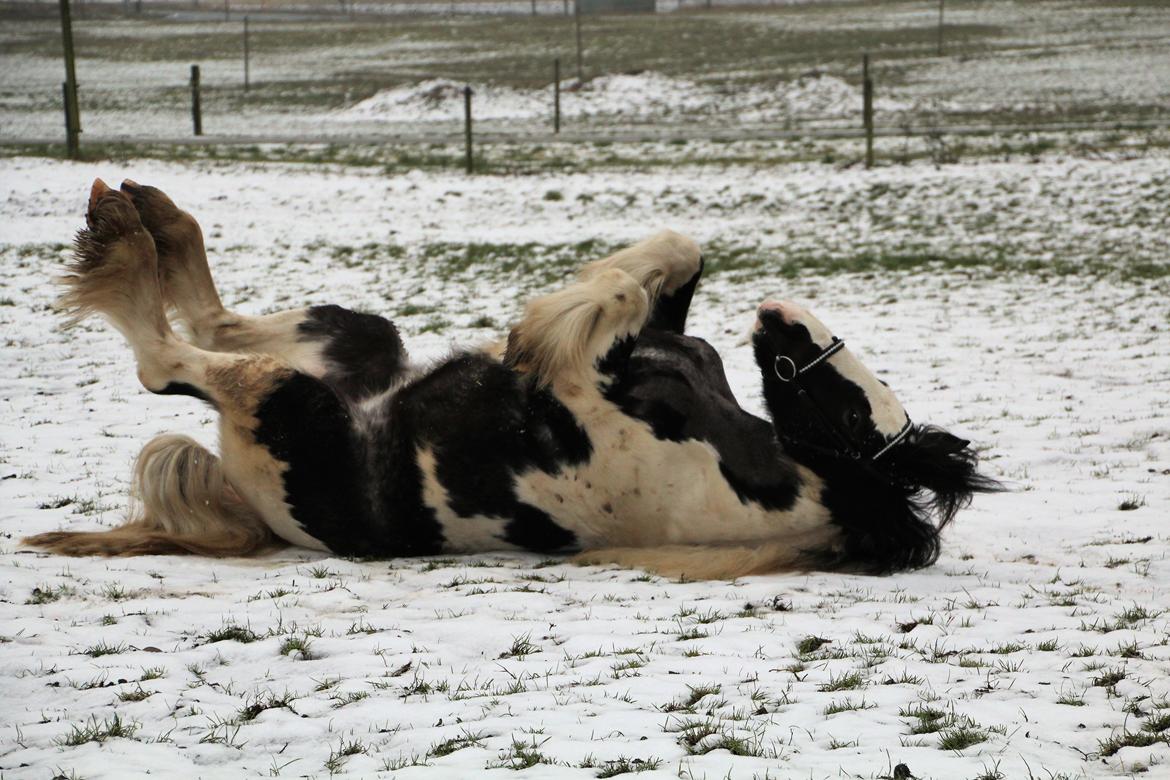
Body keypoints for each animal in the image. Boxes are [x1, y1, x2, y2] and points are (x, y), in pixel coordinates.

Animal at [20, 178, 996, 580]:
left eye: (854, 411)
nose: (776, 316)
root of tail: (257, 509)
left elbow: (609, 303)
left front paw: (535, 331)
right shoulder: (660, 337)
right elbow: (673, 254)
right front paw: (533, 329)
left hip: (284, 397)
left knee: (166, 360)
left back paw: (122, 234)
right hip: (355, 343)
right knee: (220, 318)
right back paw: (151, 211)